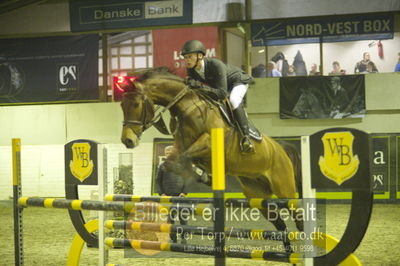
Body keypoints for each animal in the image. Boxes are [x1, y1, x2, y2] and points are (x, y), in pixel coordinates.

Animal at [119, 68, 304, 249]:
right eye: (121, 105)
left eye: (136, 104)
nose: (127, 140)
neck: (187, 107)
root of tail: (282, 148)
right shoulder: (181, 147)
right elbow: (175, 161)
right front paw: (206, 177)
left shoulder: (208, 143)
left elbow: (184, 158)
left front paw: (203, 177)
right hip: (257, 195)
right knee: (280, 223)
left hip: (284, 188)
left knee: (298, 217)